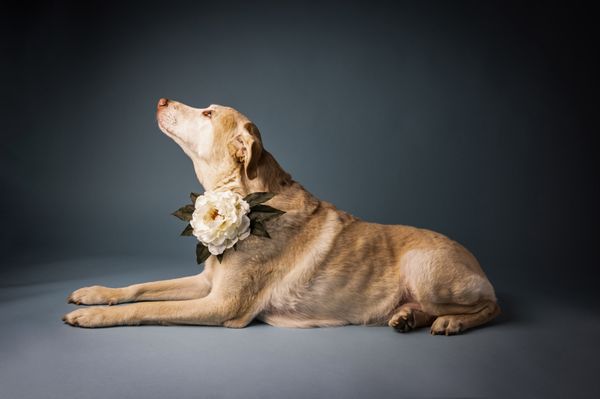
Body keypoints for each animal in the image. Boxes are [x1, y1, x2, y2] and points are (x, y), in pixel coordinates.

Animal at [63, 98, 500, 336]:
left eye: (207, 114)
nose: (161, 100)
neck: (240, 195)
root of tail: (477, 262)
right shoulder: (207, 282)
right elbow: (140, 288)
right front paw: (96, 294)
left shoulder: (221, 304)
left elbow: (146, 308)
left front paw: (93, 316)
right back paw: (409, 315)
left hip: (424, 268)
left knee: (491, 306)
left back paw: (451, 322)